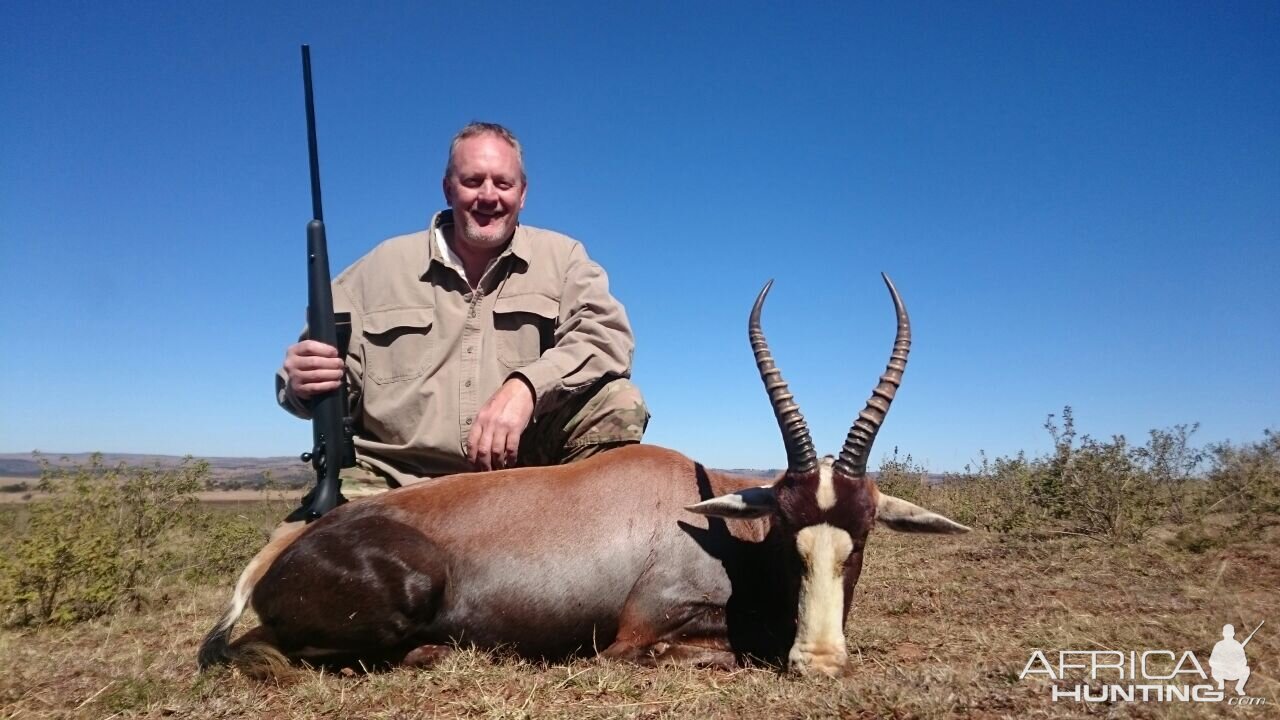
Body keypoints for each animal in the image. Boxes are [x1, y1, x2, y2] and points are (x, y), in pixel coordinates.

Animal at [199, 272, 962, 671]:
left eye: (861, 535)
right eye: (785, 527)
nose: (821, 660)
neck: (712, 526)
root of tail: (282, 553)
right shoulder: (638, 631)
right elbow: (712, 647)